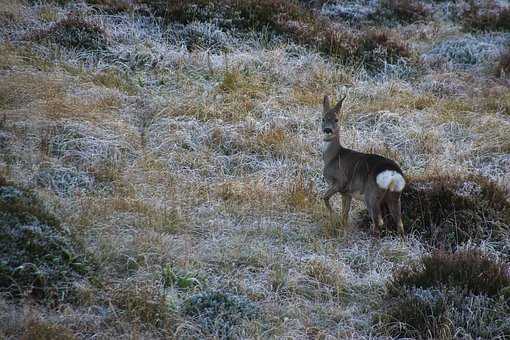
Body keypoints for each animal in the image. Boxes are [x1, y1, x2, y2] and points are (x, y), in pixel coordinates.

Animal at [322, 94, 406, 235]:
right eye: (322, 118)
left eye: (336, 119)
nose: (327, 130)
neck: (333, 156)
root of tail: (392, 173)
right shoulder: (346, 193)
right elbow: (345, 213)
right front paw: (342, 225)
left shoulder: (340, 181)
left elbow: (324, 197)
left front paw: (333, 215)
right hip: (395, 195)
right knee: (400, 223)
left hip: (371, 195)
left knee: (378, 222)